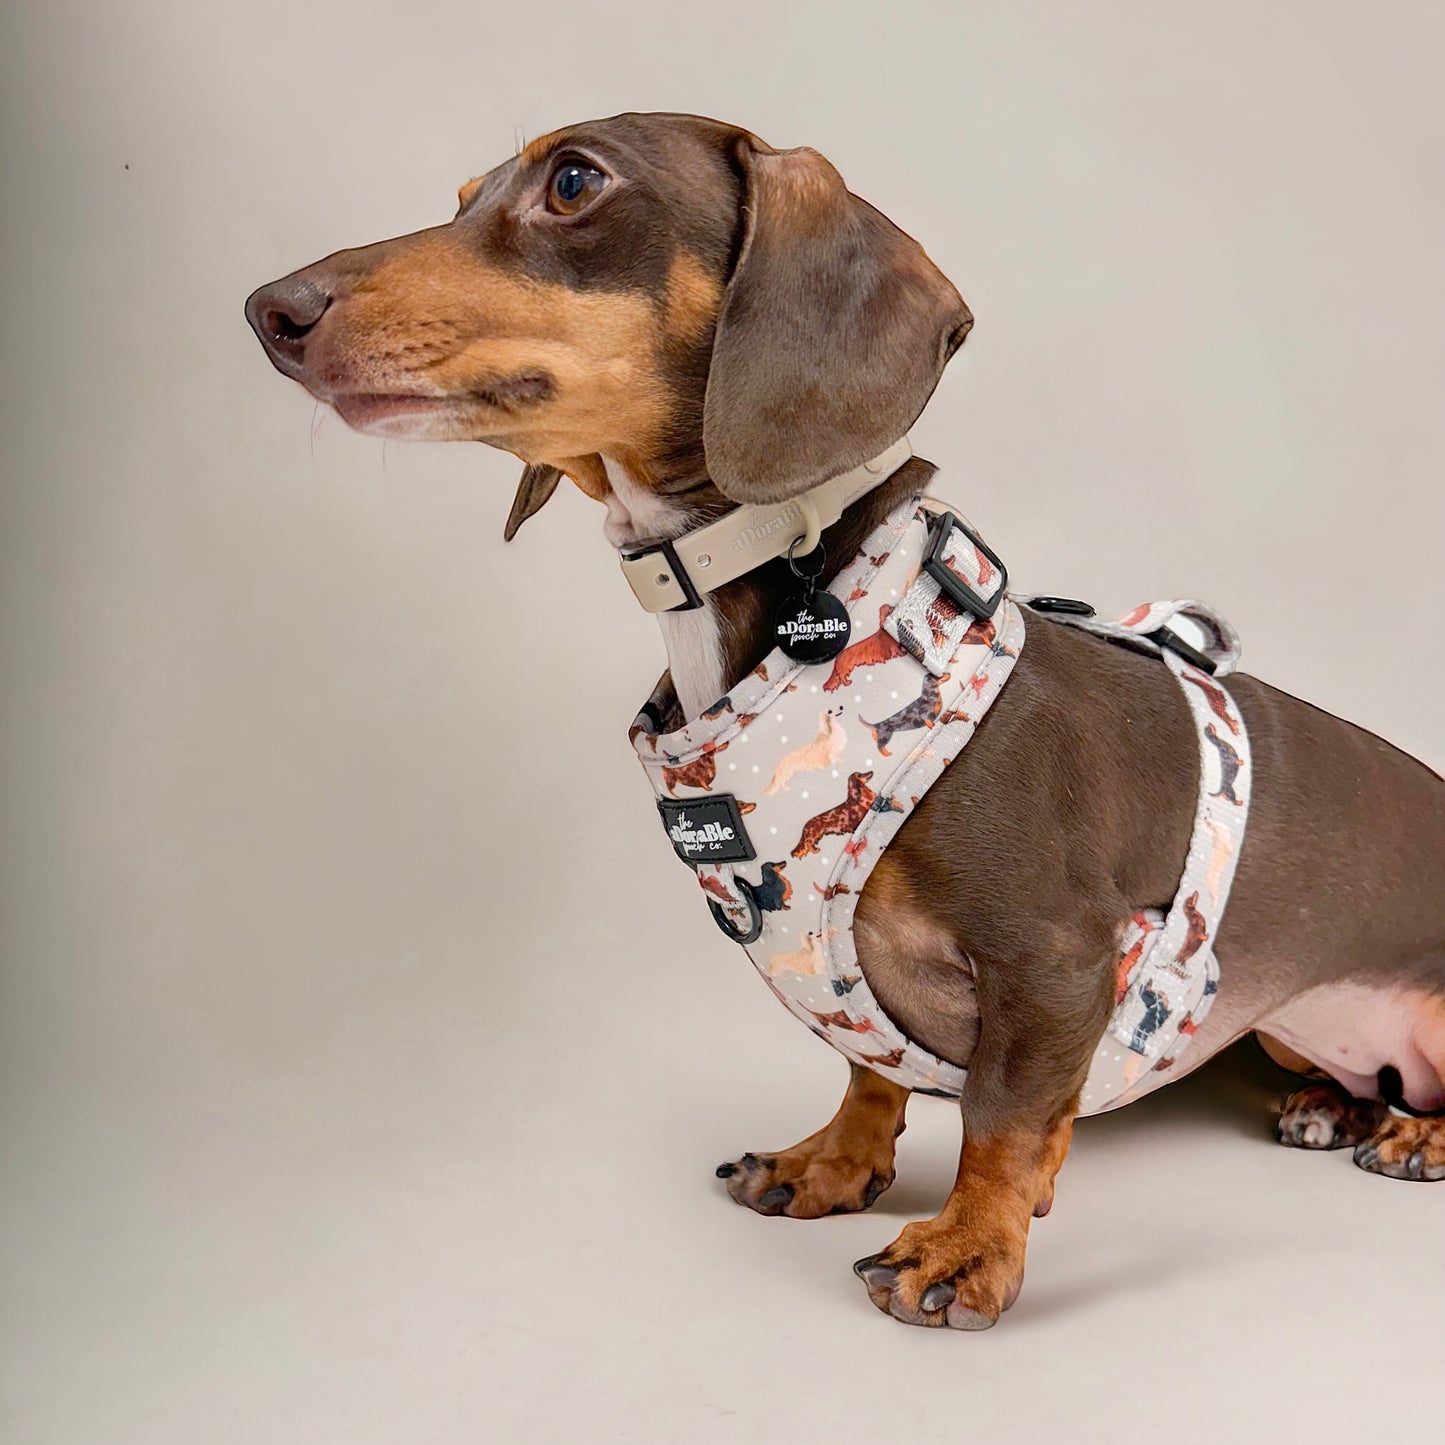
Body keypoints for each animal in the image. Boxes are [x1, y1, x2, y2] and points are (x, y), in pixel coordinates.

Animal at [247, 111, 1445, 1331]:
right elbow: (870, 1066)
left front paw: (968, 1247)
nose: (269, 310)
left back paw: (1413, 1134)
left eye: (574, 181)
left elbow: (1004, 1115)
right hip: (1281, 1026)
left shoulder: (1057, 959)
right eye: (461, 196)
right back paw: (1335, 1107)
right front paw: (831, 1161)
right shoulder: (851, 969)